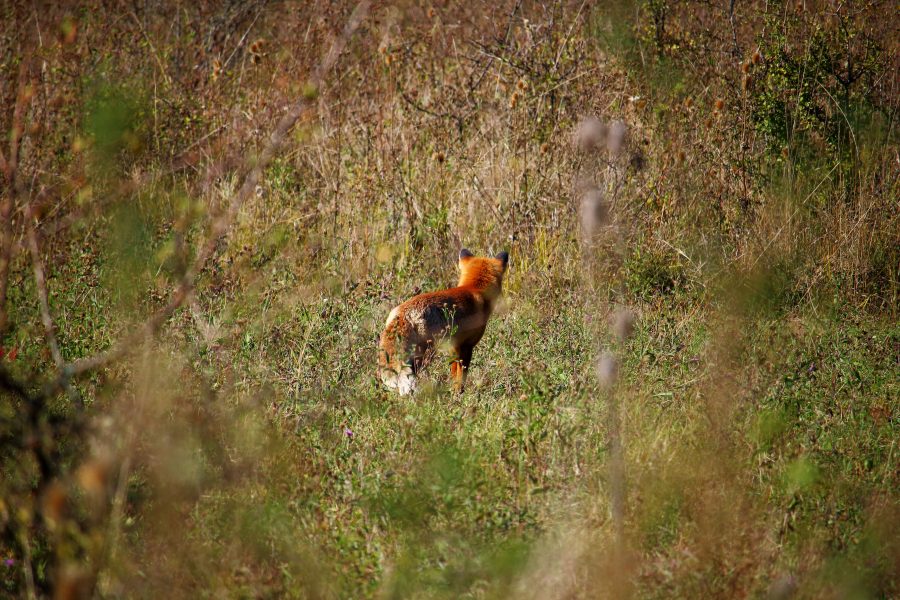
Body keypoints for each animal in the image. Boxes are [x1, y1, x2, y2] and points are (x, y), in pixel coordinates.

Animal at [378, 246, 510, 396]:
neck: (474, 288)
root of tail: (403, 313)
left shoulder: (453, 346)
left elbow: (453, 372)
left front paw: (453, 391)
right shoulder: (467, 346)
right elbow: (461, 375)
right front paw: (459, 393)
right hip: (424, 353)